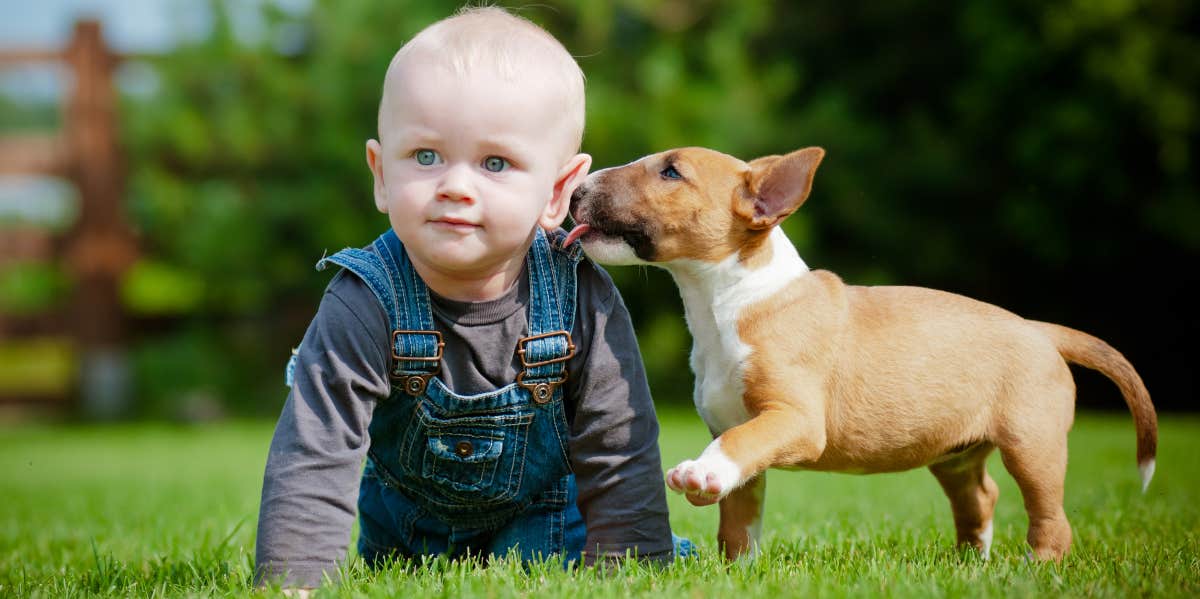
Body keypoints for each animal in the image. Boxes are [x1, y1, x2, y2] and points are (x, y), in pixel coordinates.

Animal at [566, 145, 1156, 561]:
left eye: (671, 172)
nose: (575, 191)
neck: (731, 300)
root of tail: (1041, 330)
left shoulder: (794, 419)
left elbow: (738, 446)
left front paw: (699, 476)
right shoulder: (736, 427)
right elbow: (740, 514)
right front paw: (739, 570)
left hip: (1033, 444)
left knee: (1050, 515)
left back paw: (1036, 568)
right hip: (956, 454)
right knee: (981, 497)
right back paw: (971, 563)